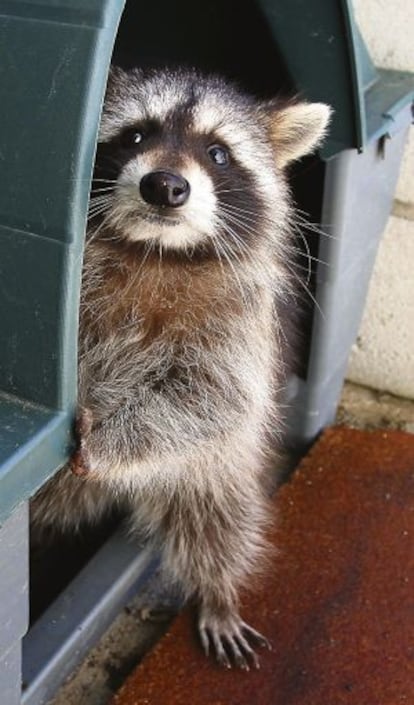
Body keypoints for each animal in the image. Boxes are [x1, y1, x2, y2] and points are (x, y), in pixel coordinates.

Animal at [30, 69, 332, 668]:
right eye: (136, 136)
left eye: (218, 153)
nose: (165, 186)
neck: (155, 249)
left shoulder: (243, 325)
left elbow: (214, 398)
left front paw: (108, 443)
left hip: (214, 468)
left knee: (217, 519)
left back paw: (217, 591)